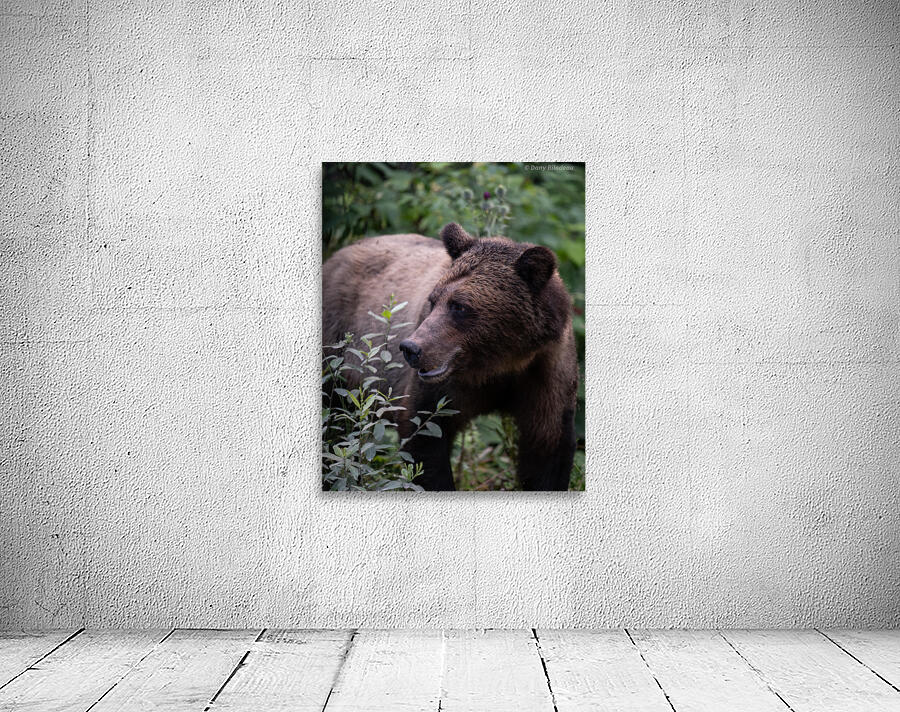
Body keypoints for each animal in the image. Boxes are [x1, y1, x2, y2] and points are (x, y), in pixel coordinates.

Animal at [322, 222, 578, 491]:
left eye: (460, 306)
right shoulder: (442, 388)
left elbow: (548, 446)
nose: (411, 348)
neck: (499, 363)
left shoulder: (546, 369)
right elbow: (425, 435)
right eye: (433, 300)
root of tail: (338, 253)